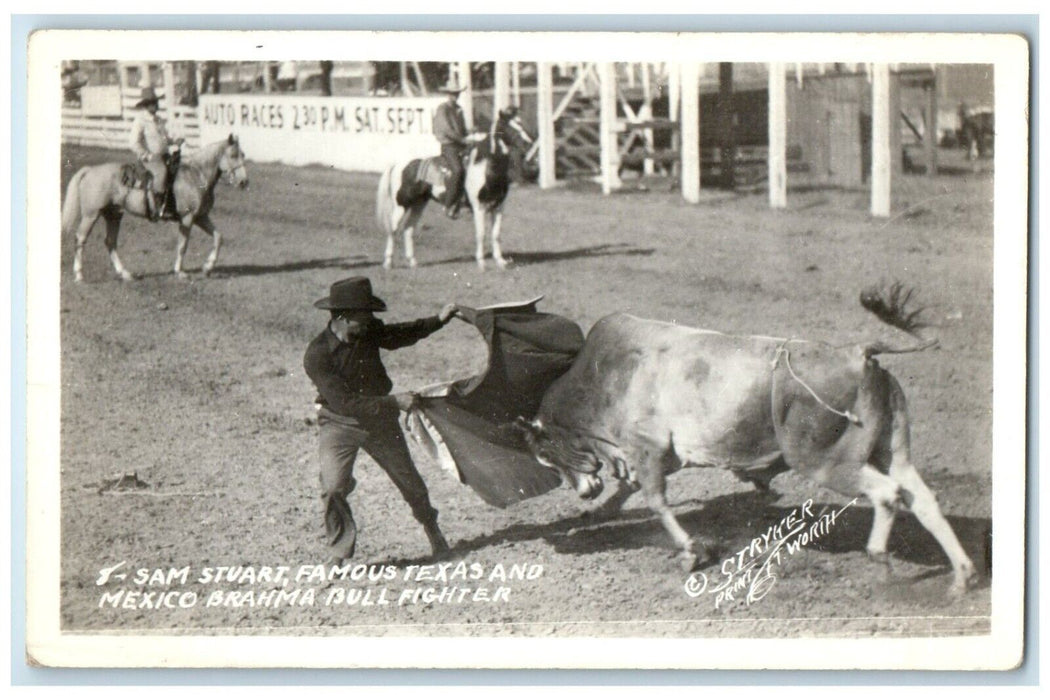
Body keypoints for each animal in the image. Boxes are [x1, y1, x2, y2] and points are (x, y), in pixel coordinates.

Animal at [63, 134, 249, 281]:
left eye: (243, 154)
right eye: (233, 155)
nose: (243, 182)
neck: (196, 176)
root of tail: (90, 170)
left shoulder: (201, 217)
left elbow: (218, 237)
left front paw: (208, 267)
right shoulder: (187, 218)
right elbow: (183, 245)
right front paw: (180, 271)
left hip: (113, 215)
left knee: (110, 242)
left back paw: (125, 273)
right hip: (91, 214)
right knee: (80, 238)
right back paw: (79, 274)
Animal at [375, 107, 533, 270]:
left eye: (521, 123)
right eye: (509, 126)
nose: (528, 144)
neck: (485, 168)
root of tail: (398, 165)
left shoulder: (499, 207)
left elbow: (496, 234)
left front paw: (501, 261)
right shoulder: (479, 207)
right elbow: (481, 234)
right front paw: (481, 263)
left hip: (418, 204)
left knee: (408, 228)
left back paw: (412, 261)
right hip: (401, 205)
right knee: (393, 229)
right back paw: (388, 262)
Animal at [520, 289, 978, 596]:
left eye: (545, 455)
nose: (582, 492)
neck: (602, 376)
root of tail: (857, 351)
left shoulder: (645, 449)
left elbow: (656, 501)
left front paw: (691, 552)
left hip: (829, 462)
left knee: (888, 495)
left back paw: (880, 560)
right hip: (892, 450)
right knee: (923, 499)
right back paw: (962, 576)